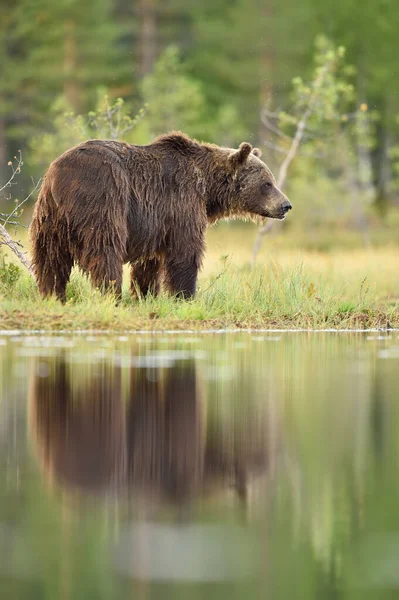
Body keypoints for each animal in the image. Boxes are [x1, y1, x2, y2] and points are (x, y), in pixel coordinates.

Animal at [29, 131, 292, 300]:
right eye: (267, 183)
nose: (286, 205)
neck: (207, 189)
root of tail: (59, 176)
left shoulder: (155, 222)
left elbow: (149, 262)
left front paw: (145, 295)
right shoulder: (180, 203)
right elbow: (185, 251)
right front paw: (185, 295)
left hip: (48, 216)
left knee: (50, 259)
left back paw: (52, 294)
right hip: (103, 196)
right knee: (106, 250)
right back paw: (111, 294)